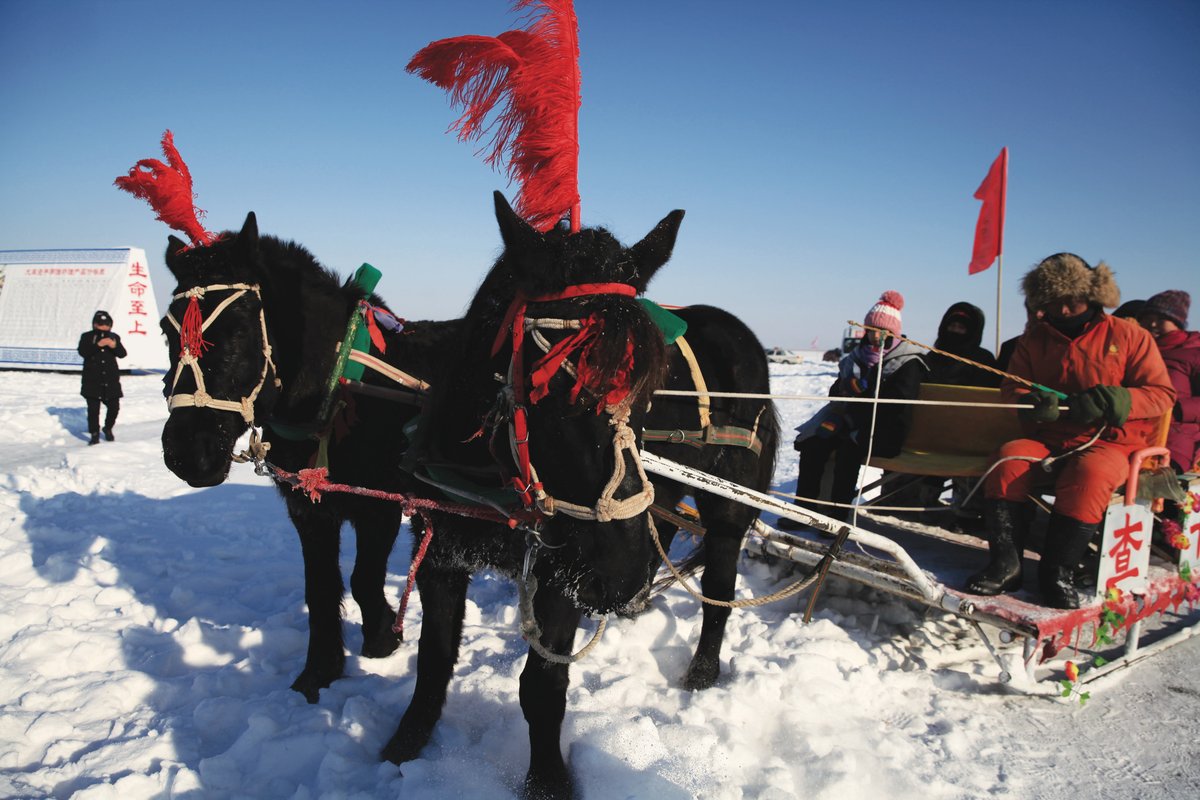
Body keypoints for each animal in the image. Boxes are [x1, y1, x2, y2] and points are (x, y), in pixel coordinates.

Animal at [154, 212, 458, 700]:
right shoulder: (308, 509)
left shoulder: (378, 507)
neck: (339, 391)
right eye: (168, 331)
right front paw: (319, 672)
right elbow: (320, 589)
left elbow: (362, 579)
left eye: (239, 329)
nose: (187, 452)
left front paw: (382, 639)